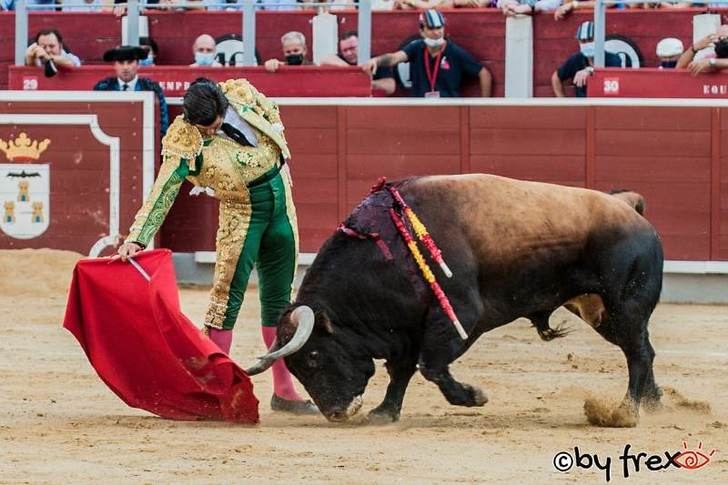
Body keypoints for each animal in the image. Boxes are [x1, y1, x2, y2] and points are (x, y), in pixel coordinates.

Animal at [246, 175, 664, 424]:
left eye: (314, 357)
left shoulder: (459, 315)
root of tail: (628, 207)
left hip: (624, 305)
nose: (336, 412)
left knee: (639, 353)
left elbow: (430, 366)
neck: (387, 249)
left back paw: (626, 411)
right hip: (603, 314)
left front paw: (473, 396)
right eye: (297, 366)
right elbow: (403, 370)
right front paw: (385, 412)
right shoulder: (407, 327)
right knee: (642, 350)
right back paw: (653, 402)